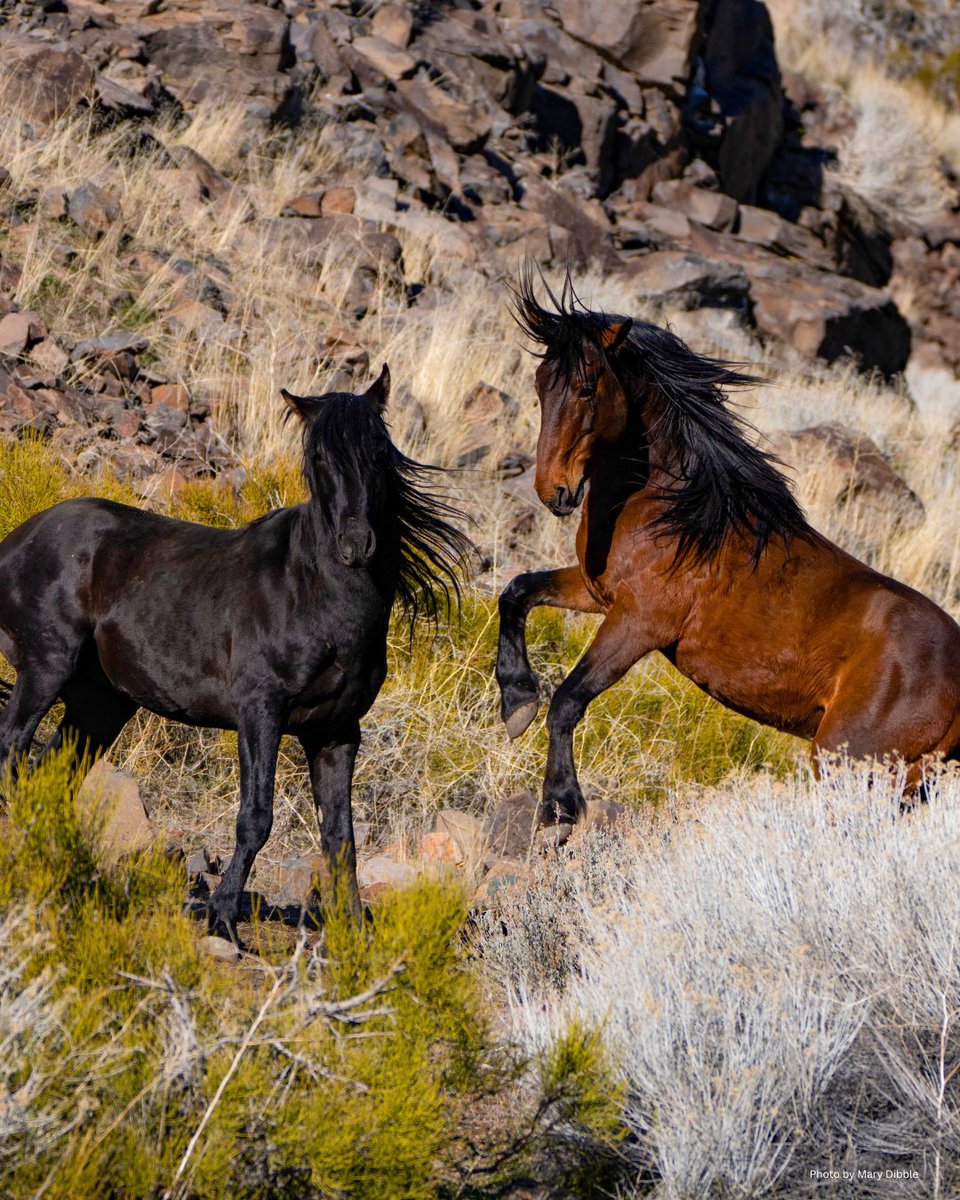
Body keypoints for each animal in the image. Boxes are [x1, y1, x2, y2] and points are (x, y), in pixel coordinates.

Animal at [0, 365, 471, 941]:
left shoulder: (336, 732)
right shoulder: (260, 712)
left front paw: (357, 932)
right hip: (44, 670)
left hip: (100, 704)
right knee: (12, 748)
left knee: (54, 773)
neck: (311, 590)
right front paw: (222, 918)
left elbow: (341, 835)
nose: (357, 544)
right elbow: (256, 818)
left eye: (380, 450)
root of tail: (18, 540)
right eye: (319, 457)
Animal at [496, 276, 960, 827]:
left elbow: (568, 700)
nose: (555, 492)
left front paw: (561, 803)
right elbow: (517, 591)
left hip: (850, 763)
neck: (681, 512)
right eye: (541, 383)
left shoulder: (639, 621)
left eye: (587, 387)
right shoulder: (595, 591)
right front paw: (515, 702)